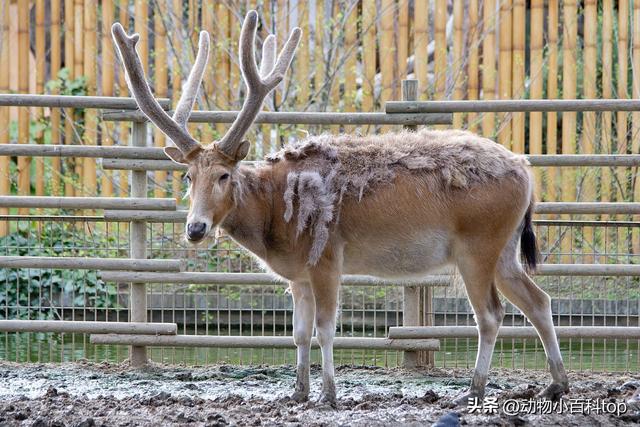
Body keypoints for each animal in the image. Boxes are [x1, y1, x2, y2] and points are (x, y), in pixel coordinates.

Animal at [111, 8, 568, 406]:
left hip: (478, 244)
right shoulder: (297, 276)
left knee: (491, 314)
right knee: (538, 299)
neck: (275, 222)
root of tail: (528, 174)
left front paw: (329, 395)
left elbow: (327, 330)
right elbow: (298, 333)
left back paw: (473, 390)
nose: (196, 228)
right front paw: (297, 392)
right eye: (188, 177)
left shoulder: (327, 257)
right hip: (505, 248)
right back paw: (556, 385)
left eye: (224, 175)